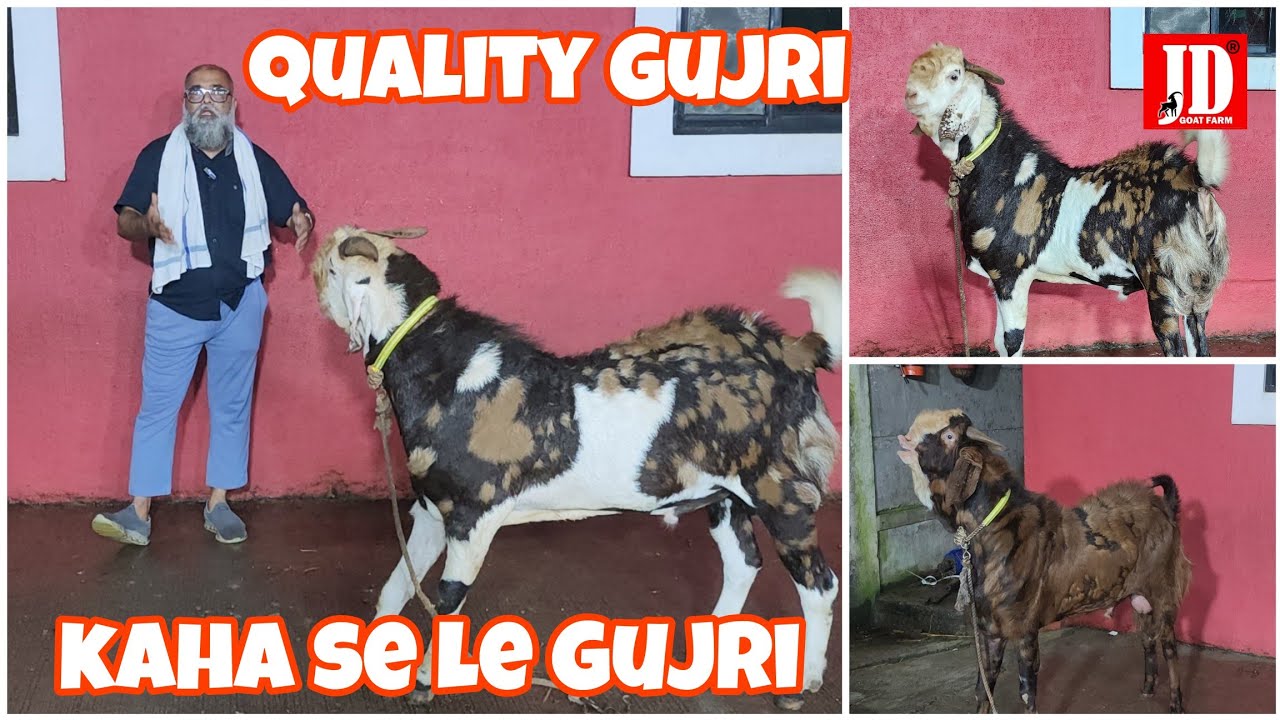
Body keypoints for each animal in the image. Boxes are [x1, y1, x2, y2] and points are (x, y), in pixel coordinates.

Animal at [311, 226, 842, 706]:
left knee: (819, 583)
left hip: (780, 491)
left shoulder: (474, 513)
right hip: (726, 496)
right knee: (743, 564)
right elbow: (396, 585)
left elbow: (448, 598)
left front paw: (423, 684)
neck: (454, 377)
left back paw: (802, 686)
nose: (317, 255)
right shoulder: (428, 508)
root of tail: (797, 351)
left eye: (335, 268)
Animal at [897, 409, 1192, 713]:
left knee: (1169, 646)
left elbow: (1027, 691)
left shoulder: (1025, 626)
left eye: (949, 436)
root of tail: (1166, 507)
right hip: (1139, 598)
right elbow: (983, 688)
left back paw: (1176, 704)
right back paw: (1147, 689)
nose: (904, 438)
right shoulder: (990, 628)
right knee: (1147, 638)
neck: (997, 528)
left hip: (1164, 591)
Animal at [904, 43, 1229, 357]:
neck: (1004, 173)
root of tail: (1192, 176)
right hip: (1197, 289)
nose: (910, 96)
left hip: (1164, 285)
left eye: (954, 74)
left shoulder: (1012, 275)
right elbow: (999, 343)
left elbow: (1012, 343)